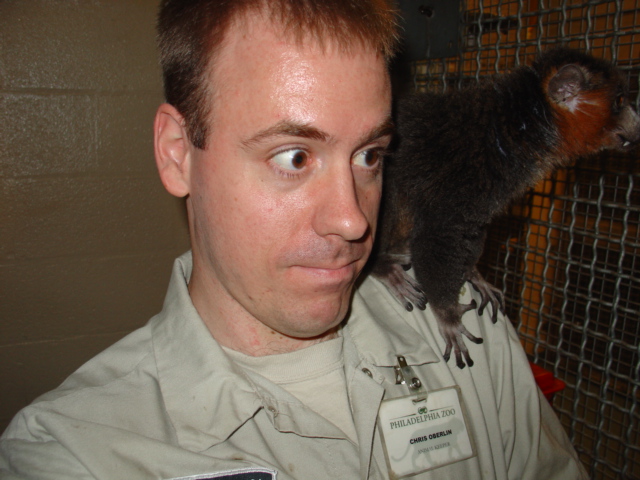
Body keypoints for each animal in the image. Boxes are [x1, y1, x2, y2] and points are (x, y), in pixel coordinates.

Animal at [373, 47, 640, 369]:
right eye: (619, 101)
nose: (638, 125)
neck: (521, 128)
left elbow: (471, 232)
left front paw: (473, 274)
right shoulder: (470, 176)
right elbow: (438, 234)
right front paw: (447, 314)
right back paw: (382, 265)